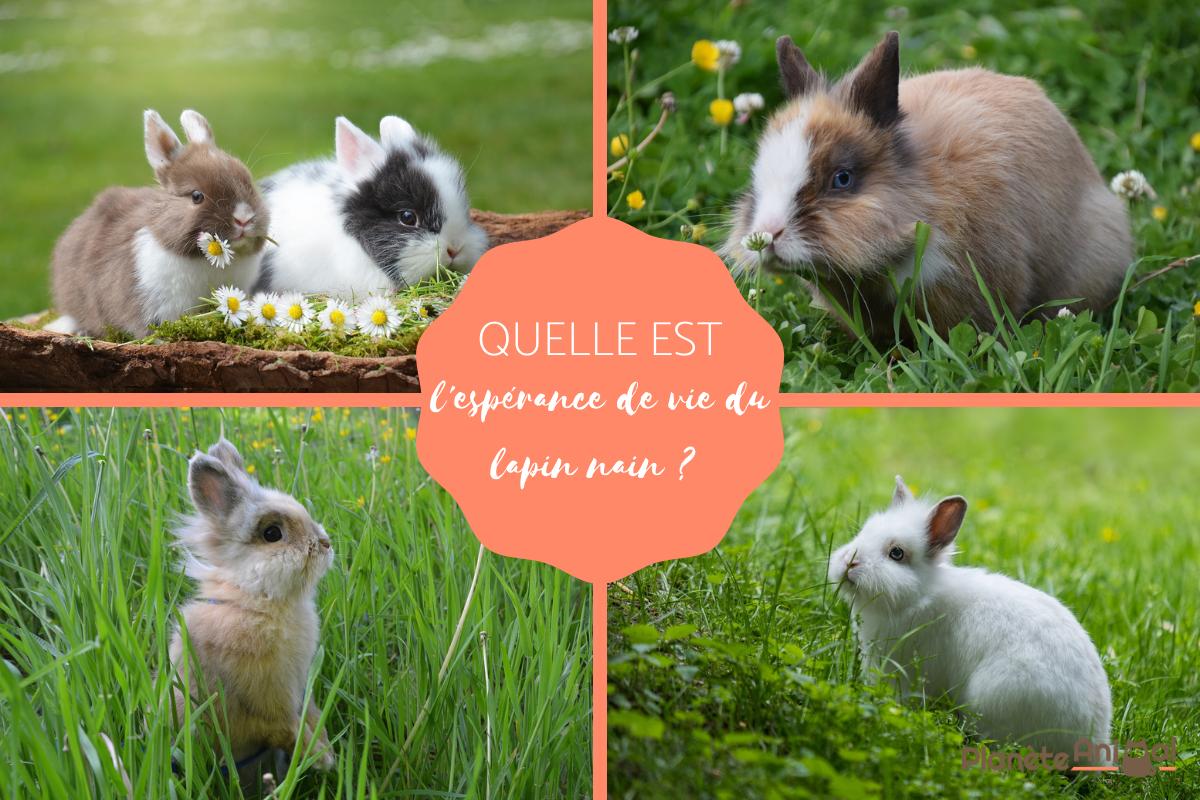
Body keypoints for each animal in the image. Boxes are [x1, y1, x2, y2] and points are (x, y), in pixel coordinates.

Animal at [167, 438, 336, 775]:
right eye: (272, 534)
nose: (325, 543)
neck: (258, 601)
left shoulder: (299, 690)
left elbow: (310, 715)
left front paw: (326, 749)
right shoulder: (268, 706)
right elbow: (288, 729)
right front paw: (323, 758)